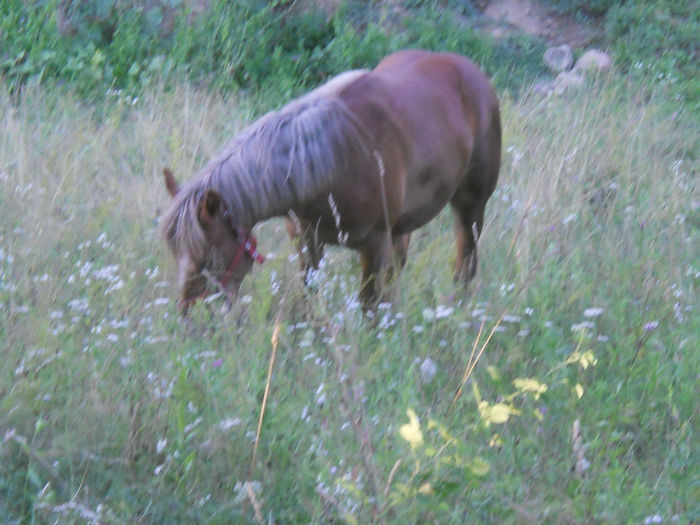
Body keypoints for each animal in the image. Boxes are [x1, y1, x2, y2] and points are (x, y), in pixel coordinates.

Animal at [161, 50, 500, 312]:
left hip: (470, 206)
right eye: (176, 256)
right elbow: (311, 297)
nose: (191, 317)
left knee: (465, 260)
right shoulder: (306, 241)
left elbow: (368, 305)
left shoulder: (374, 245)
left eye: (208, 261)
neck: (335, 157)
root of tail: (470, 70)